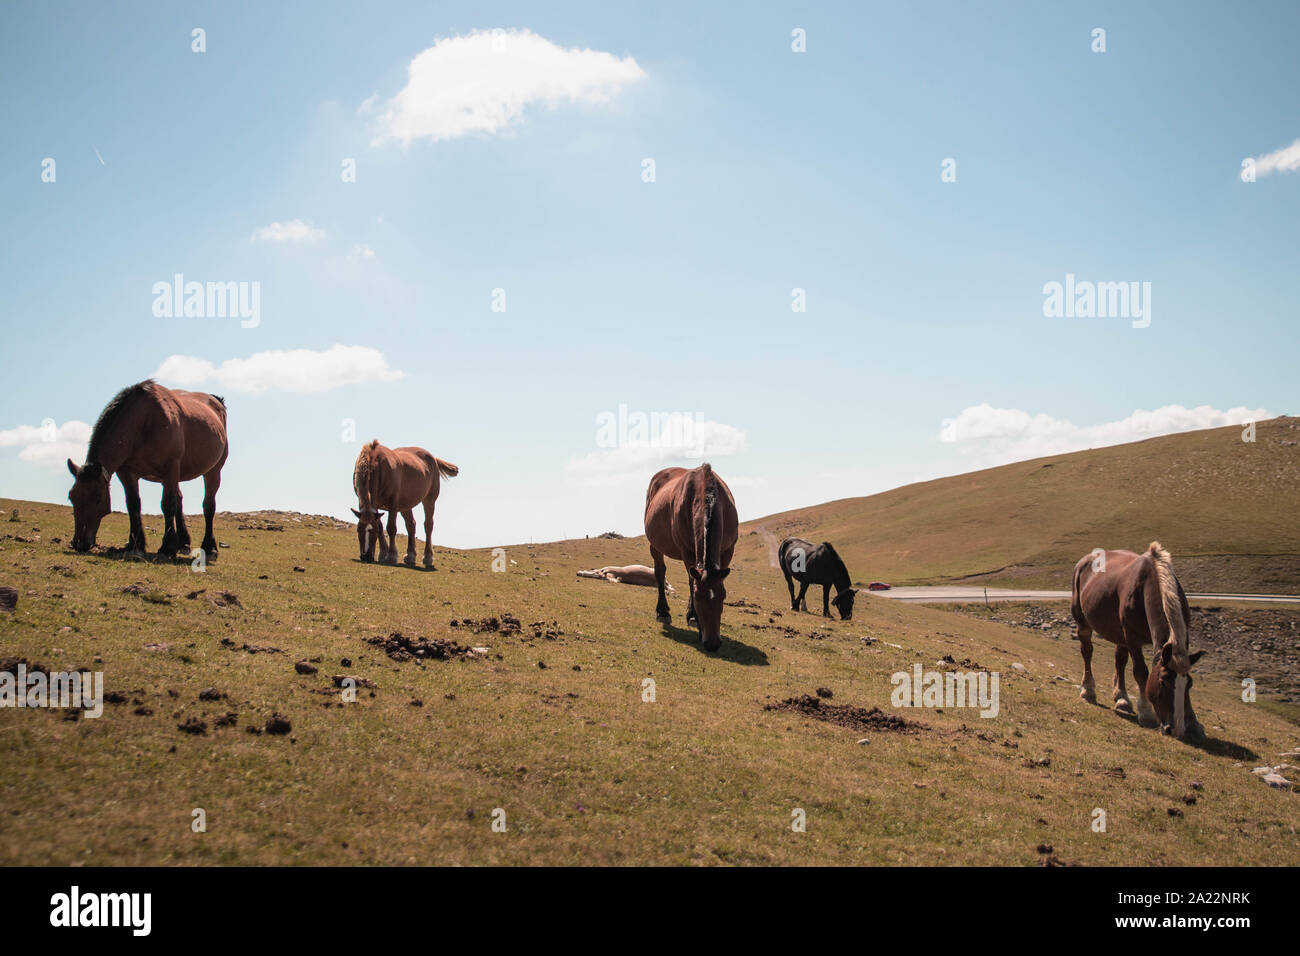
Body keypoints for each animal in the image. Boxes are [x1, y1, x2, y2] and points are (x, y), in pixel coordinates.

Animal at [67, 379, 230, 561]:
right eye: (71, 497)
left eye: (97, 499)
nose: (79, 543)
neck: (144, 422)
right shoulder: (127, 473)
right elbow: (133, 504)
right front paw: (135, 545)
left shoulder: (170, 468)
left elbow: (168, 505)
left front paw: (167, 548)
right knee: (179, 499)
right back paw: (183, 543)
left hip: (212, 472)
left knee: (208, 506)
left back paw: (209, 548)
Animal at [642, 463, 738, 650]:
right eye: (698, 597)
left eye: (723, 597)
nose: (712, 643)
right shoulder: (687, 551)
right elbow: (690, 581)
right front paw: (694, 616)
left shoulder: (728, 551)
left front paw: (692, 617)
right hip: (655, 545)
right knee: (660, 572)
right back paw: (663, 612)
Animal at [1066, 546, 1206, 738]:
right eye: (1163, 682)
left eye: (1189, 685)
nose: (1176, 729)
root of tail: (1084, 561)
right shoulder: (1132, 637)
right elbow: (1141, 672)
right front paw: (1146, 713)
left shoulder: (1183, 635)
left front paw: (1193, 721)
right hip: (1084, 623)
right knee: (1087, 652)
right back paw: (1088, 690)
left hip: (1119, 634)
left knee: (1119, 660)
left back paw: (1122, 698)